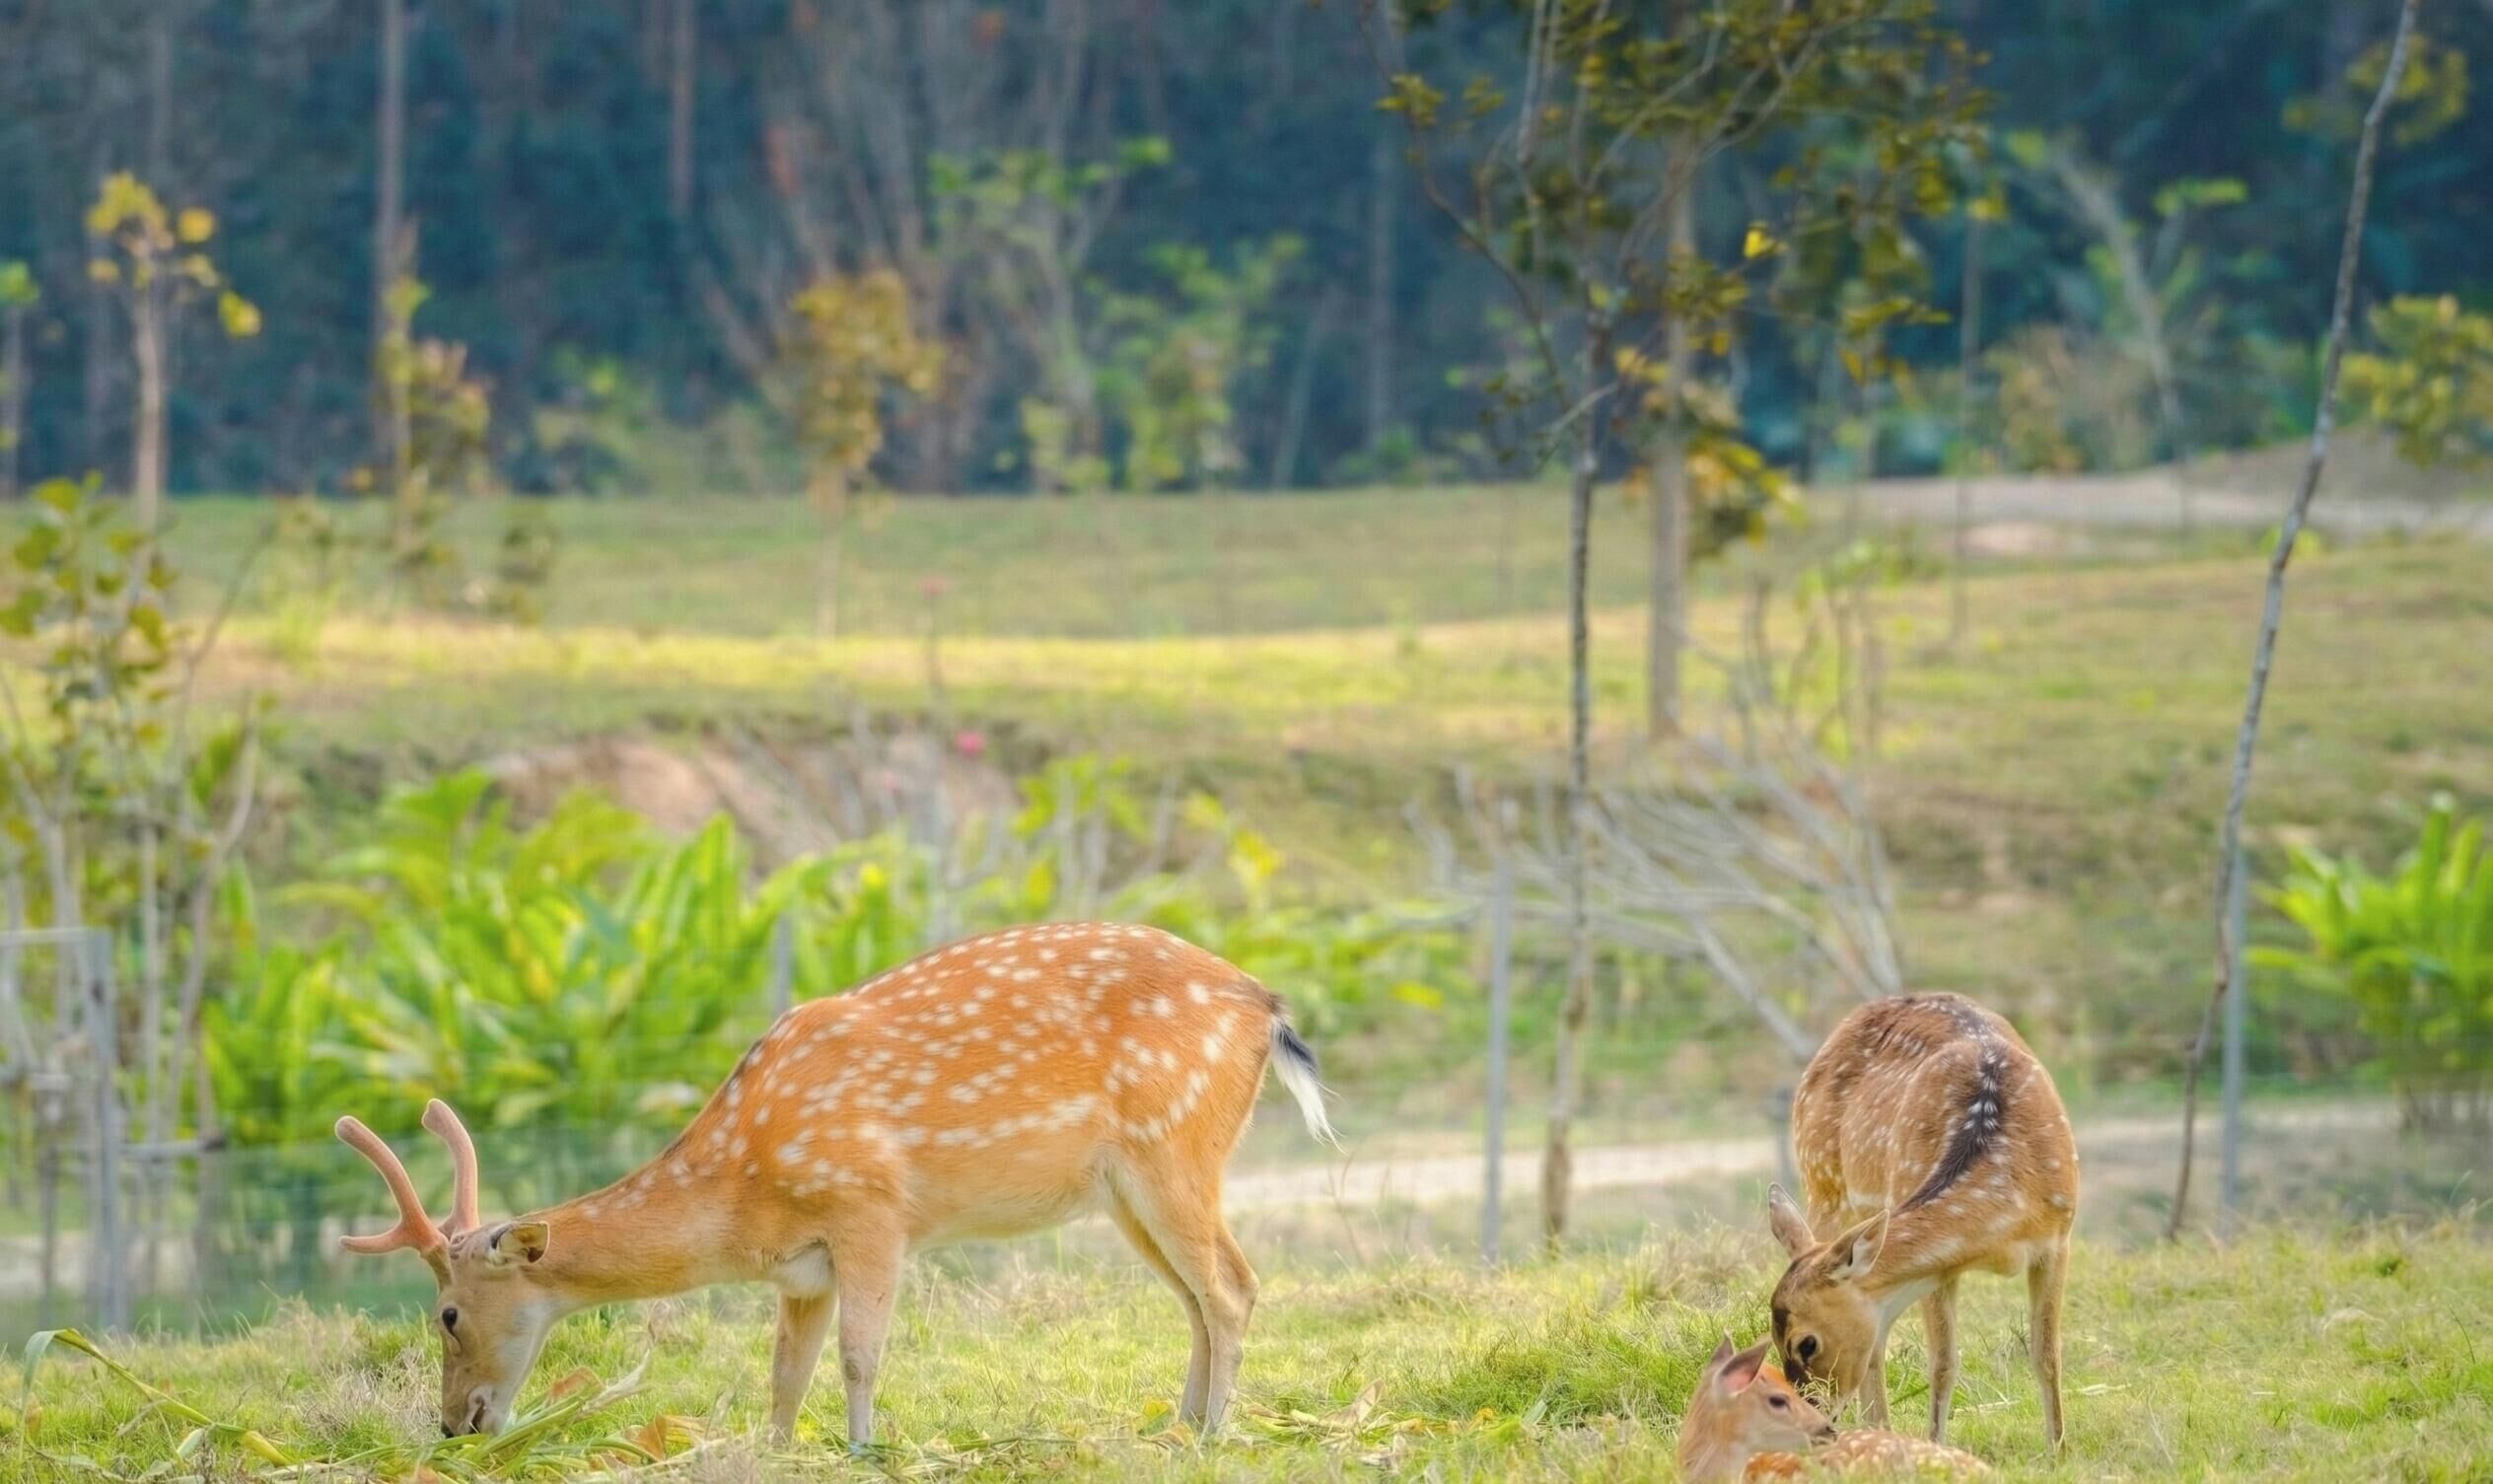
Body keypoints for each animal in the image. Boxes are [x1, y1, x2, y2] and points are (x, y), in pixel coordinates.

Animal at [333, 921, 1338, 1449]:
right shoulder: (801, 1265)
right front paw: (778, 1451)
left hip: (1174, 1148)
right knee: (1200, 1296)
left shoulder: (870, 1207)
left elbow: (859, 1354)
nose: (455, 1423)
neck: (743, 1188)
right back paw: (1179, 1428)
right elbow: (784, 1371)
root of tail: (1268, 1010)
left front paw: (862, 1448)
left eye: (447, 1313)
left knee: (1234, 1287)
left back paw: (1215, 1435)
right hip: (1131, 1190)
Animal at [1763, 993, 2077, 1453]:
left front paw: (2059, 1451)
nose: (1808, 1416)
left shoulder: (2057, 1239)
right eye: (1770, 1336)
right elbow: (1943, 1364)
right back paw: (1878, 1431)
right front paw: (1935, 1446)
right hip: (1822, 1185)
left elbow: (2047, 1354)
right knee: (1876, 1351)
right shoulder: (1938, 1265)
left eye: (1807, 1343)